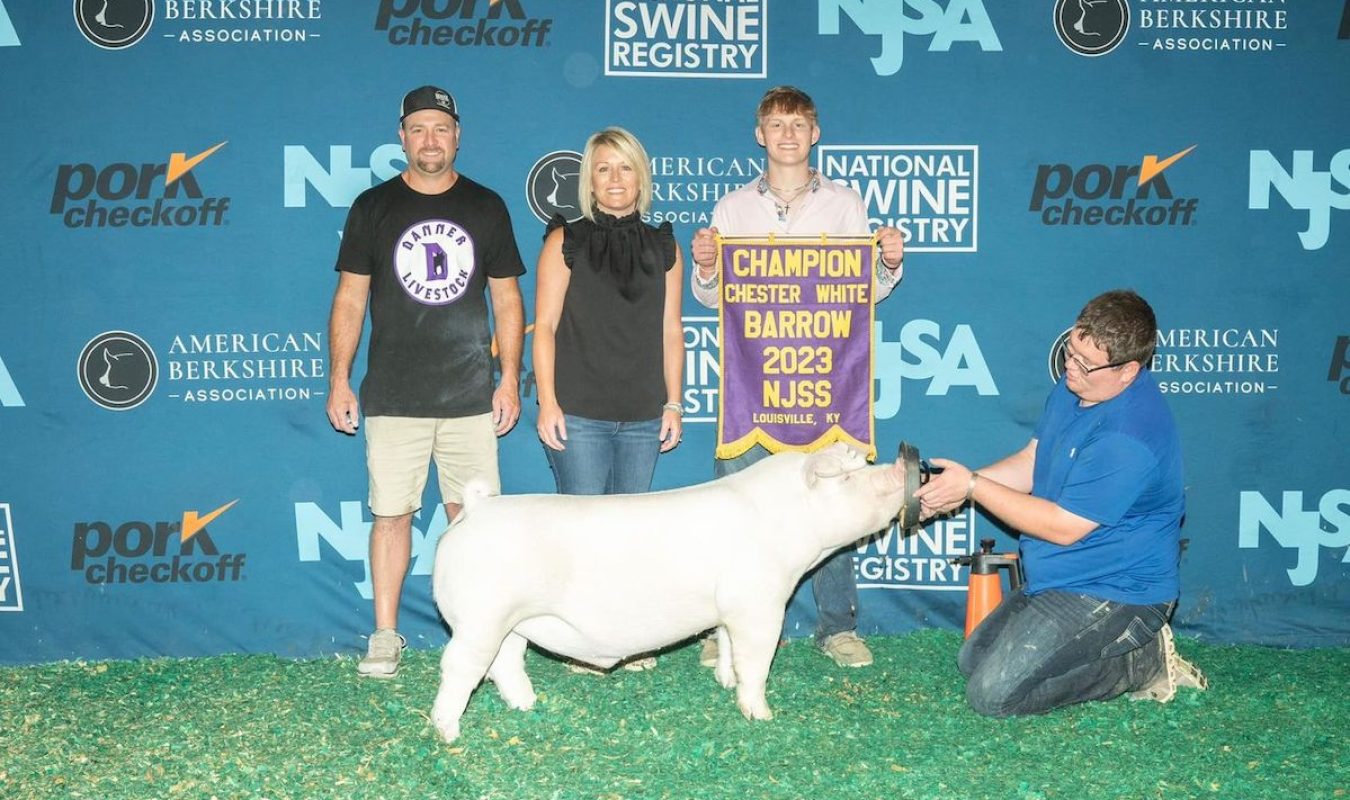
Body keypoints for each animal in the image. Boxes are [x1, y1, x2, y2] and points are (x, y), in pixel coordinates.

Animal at [429, 439, 918, 739]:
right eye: (848, 478)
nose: (900, 467)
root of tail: (474, 510)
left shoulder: (727, 609)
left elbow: (725, 644)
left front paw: (723, 681)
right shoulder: (758, 602)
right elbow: (756, 660)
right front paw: (760, 715)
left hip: (512, 620)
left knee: (505, 663)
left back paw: (528, 705)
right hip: (480, 617)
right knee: (460, 666)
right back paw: (447, 731)